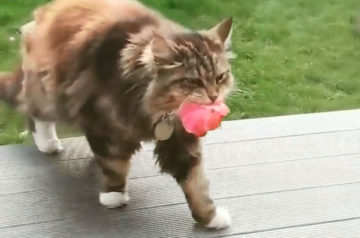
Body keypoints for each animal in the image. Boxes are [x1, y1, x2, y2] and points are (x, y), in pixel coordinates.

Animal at [0, 0, 235, 229]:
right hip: (51, 96)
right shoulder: (99, 122)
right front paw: (114, 194)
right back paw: (47, 143)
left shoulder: (180, 139)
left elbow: (196, 183)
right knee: (32, 111)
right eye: (193, 81)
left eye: (220, 77)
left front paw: (209, 217)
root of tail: (48, 10)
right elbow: (114, 164)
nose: (214, 96)